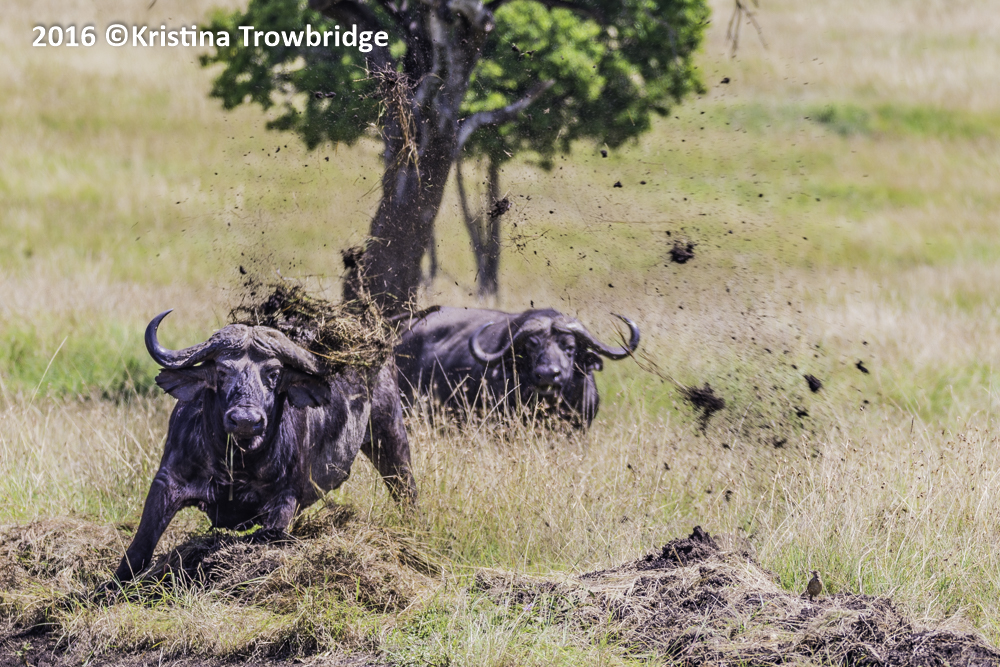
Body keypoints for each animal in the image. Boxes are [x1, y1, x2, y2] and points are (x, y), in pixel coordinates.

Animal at [110, 310, 416, 583]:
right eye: (222, 371)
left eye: (274, 373)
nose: (246, 420)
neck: (235, 464)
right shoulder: (167, 480)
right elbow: (139, 549)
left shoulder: (285, 498)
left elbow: (265, 536)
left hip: (389, 431)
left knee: (405, 487)